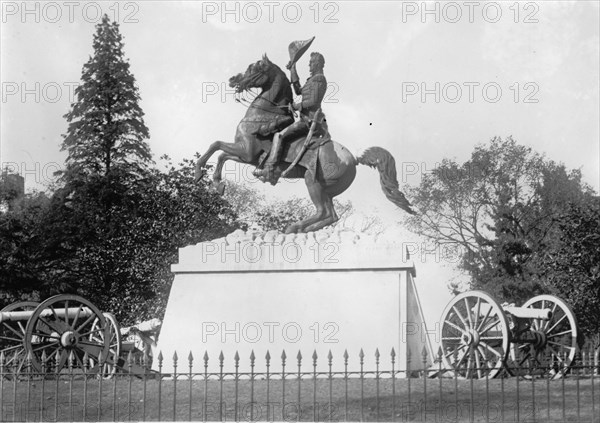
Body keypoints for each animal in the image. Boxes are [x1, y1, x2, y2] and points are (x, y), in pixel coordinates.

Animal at [195, 54, 414, 234]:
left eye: (255, 68)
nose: (233, 80)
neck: (263, 115)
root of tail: (354, 159)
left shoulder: (247, 152)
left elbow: (216, 145)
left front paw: (199, 173)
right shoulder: (248, 157)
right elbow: (221, 153)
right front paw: (217, 184)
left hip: (312, 181)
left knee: (322, 211)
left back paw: (293, 227)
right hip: (326, 190)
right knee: (331, 215)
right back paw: (302, 229)